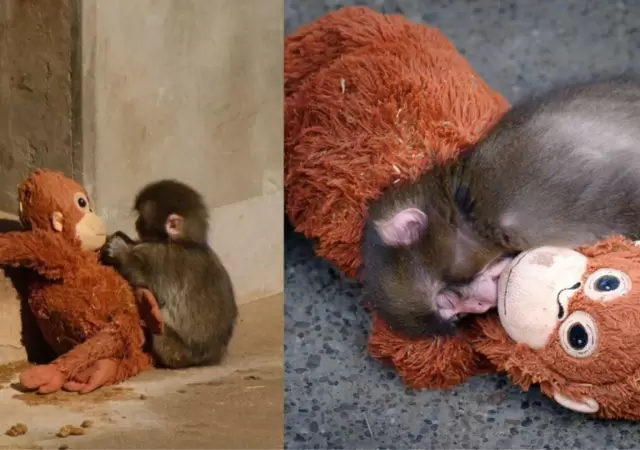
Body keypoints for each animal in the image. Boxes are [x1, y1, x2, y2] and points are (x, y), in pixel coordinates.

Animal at [100, 179, 238, 369]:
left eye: (142, 217)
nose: (136, 223)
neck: (184, 242)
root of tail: (211, 358)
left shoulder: (161, 257)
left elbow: (145, 281)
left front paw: (120, 252)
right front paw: (125, 239)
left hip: (176, 352)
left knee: (159, 331)